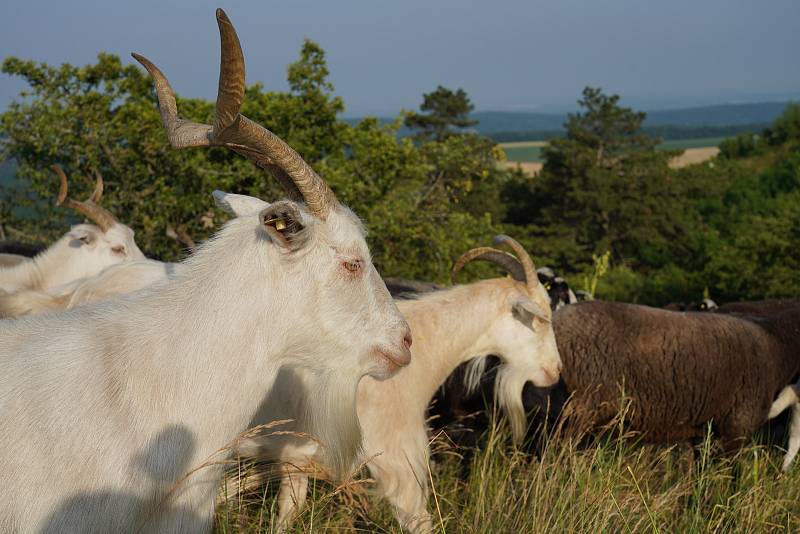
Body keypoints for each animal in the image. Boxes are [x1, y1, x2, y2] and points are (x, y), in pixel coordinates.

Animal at [234, 237, 564, 532]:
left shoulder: (296, 458)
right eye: (542, 319)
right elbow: (420, 522)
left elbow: (288, 509)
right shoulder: (398, 463)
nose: (556, 370)